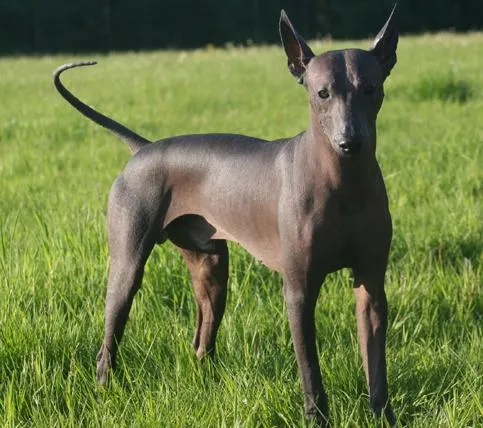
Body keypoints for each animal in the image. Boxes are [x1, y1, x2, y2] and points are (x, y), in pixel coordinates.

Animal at [54, 3, 398, 424]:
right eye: (322, 94)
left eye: (370, 90)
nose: (350, 142)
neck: (344, 181)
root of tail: (144, 148)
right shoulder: (299, 292)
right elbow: (310, 370)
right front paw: (316, 418)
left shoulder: (372, 286)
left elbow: (376, 365)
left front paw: (384, 417)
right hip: (127, 268)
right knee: (109, 340)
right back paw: (105, 394)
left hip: (211, 268)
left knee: (202, 339)